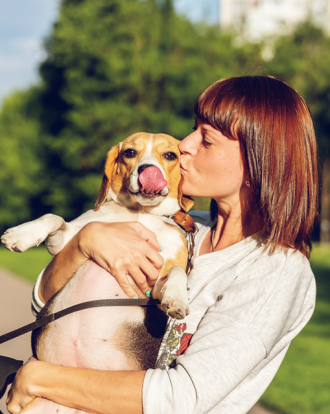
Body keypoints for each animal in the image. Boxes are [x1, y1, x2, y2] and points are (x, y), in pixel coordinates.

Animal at [1, 133, 193, 414]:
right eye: (129, 153)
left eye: (170, 155)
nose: (148, 171)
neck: (139, 213)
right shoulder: (67, 240)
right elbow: (53, 217)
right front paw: (21, 234)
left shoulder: (155, 287)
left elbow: (178, 271)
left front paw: (177, 299)